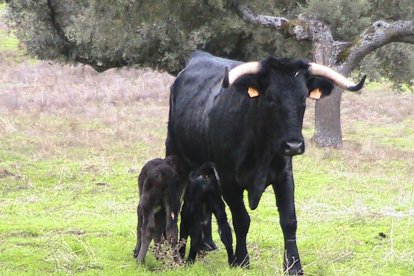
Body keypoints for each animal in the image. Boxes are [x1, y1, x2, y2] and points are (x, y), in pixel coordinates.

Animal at [165, 50, 366, 274]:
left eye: (303, 98)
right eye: (271, 98)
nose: (294, 145)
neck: (261, 147)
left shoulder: (285, 177)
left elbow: (289, 221)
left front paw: (294, 266)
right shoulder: (228, 181)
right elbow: (241, 219)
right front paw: (241, 260)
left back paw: (206, 245)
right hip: (177, 156)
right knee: (184, 206)